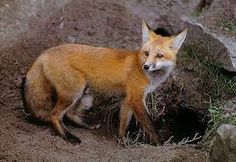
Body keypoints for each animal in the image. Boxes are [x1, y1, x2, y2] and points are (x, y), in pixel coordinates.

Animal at [21, 21, 187, 144]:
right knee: (54, 115)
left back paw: (86, 126)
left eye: (159, 56)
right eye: (146, 53)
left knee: (69, 113)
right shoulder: (136, 99)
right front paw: (161, 143)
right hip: (74, 91)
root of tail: (44, 53)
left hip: (82, 92)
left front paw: (123, 141)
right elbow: (150, 124)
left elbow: (123, 123)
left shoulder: (127, 99)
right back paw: (69, 137)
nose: (146, 66)